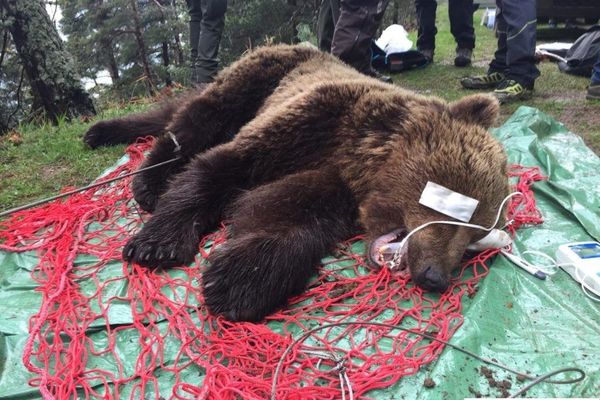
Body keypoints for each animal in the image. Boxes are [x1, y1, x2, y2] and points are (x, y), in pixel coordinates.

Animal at [83, 44, 506, 322]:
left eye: (477, 238)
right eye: (456, 212)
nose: (436, 277)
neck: (362, 157)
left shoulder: (333, 181)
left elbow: (287, 215)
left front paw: (238, 281)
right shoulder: (314, 121)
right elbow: (220, 169)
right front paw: (158, 244)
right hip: (259, 76)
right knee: (195, 121)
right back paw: (146, 178)